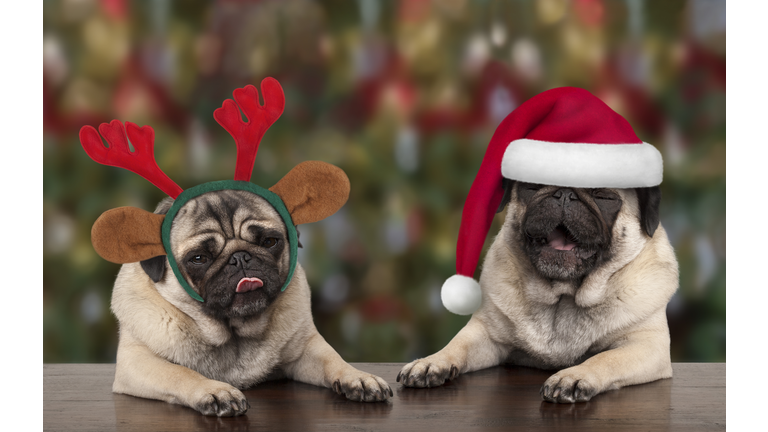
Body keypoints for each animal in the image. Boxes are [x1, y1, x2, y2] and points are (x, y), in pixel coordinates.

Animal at [400, 86, 676, 404]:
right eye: (531, 187)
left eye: (603, 196)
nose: (565, 194)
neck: (563, 296)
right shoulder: (486, 333)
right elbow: (457, 344)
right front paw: (431, 361)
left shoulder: (647, 345)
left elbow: (605, 358)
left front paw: (573, 376)